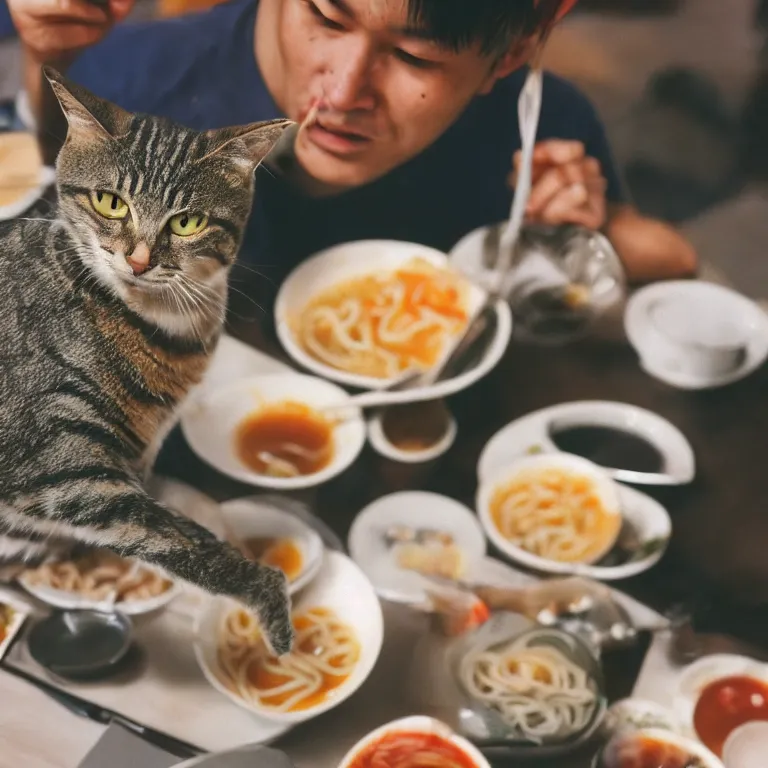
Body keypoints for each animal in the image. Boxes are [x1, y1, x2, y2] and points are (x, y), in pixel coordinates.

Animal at [0, 69, 294, 656]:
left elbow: (177, 521)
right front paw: (268, 593)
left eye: (187, 222)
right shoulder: (67, 468)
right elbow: (173, 538)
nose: (137, 260)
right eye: (110, 202)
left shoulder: (134, 461)